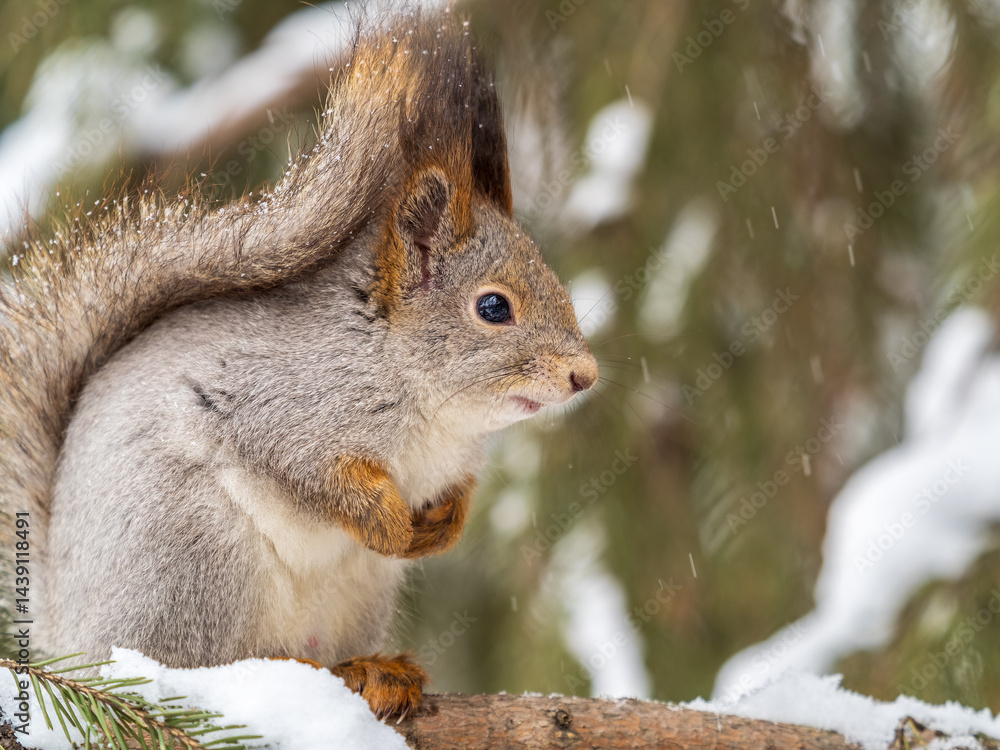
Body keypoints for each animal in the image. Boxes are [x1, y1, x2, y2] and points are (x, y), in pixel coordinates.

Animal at [0, 9, 597, 720]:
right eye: (493, 307)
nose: (585, 375)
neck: (427, 403)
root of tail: (69, 635)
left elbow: (457, 495)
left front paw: (444, 527)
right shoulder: (276, 401)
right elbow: (310, 472)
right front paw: (386, 520)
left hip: (352, 594)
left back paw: (375, 672)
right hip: (197, 561)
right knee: (201, 662)